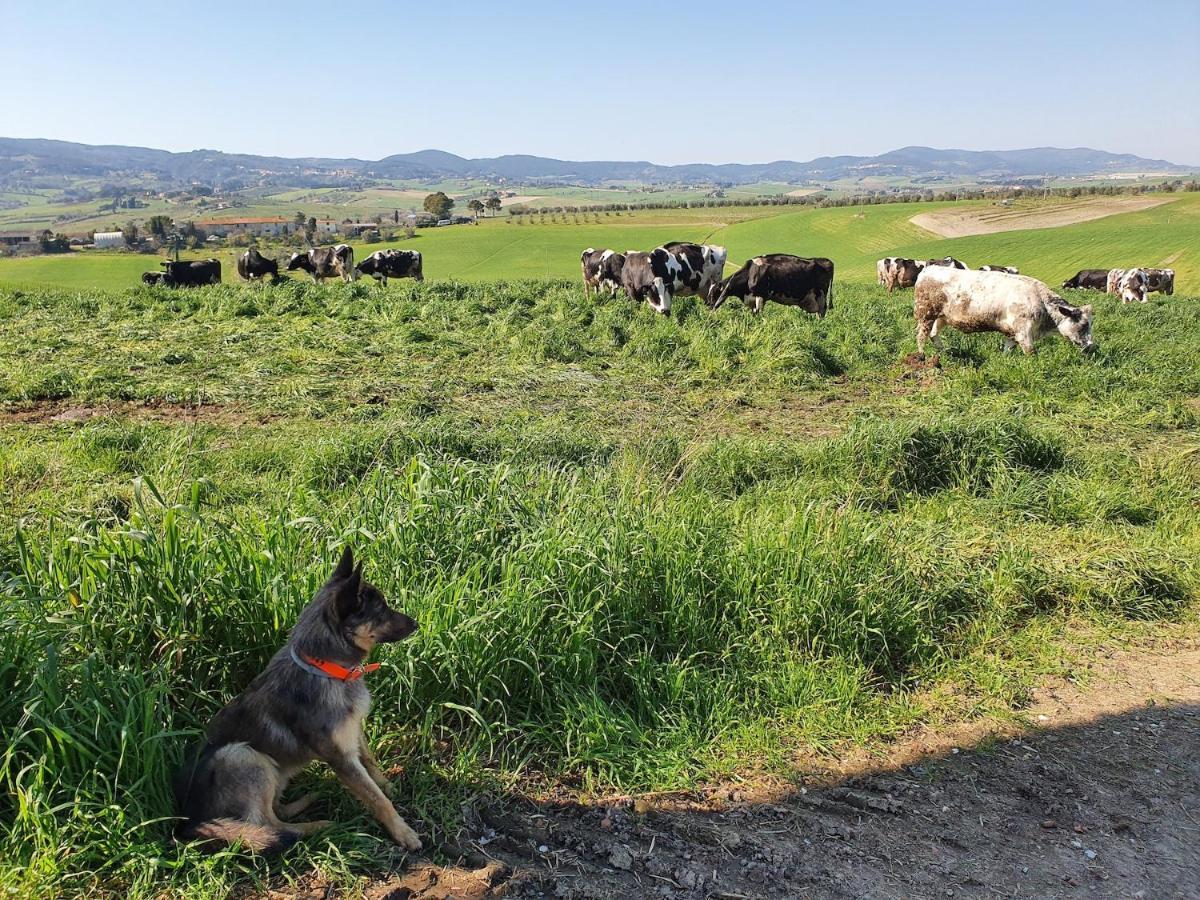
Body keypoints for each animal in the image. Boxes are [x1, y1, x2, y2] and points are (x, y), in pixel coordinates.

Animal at [172, 549, 422, 854]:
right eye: (382, 610)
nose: (417, 624)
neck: (325, 668)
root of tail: (190, 822)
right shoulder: (341, 759)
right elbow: (377, 800)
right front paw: (403, 832)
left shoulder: (353, 732)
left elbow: (371, 763)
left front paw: (388, 785)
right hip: (242, 755)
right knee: (269, 825)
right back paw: (318, 827)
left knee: (273, 813)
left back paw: (309, 801)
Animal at [700, 255, 835, 319]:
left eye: (714, 293)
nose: (708, 305)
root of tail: (825, 260)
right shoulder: (752, 299)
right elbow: (754, 314)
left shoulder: (761, 295)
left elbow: (760, 313)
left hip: (821, 296)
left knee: (821, 312)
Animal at [912, 266, 1094, 355]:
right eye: (1083, 325)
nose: (1092, 346)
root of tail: (929, 269)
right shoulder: (1023, 332)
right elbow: (1031, 353)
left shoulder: (1012, 332)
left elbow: (1008, 350)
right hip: (926, 314)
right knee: (921, 336)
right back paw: (922, 358)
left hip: (941, 317)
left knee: (933, 334)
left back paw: (944, 353)